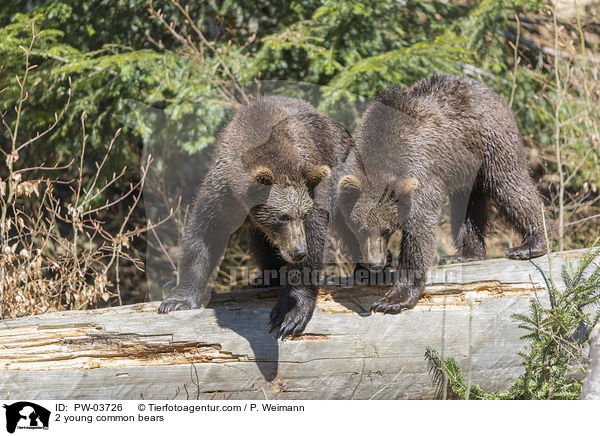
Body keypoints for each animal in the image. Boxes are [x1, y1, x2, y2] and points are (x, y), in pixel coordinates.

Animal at [161, 97, 356, 338]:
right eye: (283, 216)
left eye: (301, 214)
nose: (299, 251)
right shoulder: (223, 193)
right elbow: (204, 233)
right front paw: (177, 300)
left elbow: (315, 235)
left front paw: (291, 314)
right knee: (260, 242)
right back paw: (266, 277)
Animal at [336, 74, 548, 314]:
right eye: (360, 228)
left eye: (388, 228)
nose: (376, 263)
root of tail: (489, 91)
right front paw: (364, 271)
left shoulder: (420, 173)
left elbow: (419, 229)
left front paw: (393, 299)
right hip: (465, 168)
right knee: (466, 208)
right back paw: (464, 254)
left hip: (490, 142)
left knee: (510, 185)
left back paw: (530, 244)